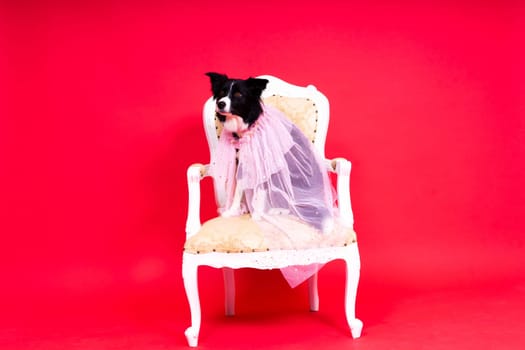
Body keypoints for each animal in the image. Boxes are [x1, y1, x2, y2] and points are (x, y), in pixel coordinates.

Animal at [204, 72, 332, 234]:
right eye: (221, 92)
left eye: (238, 95)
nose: (220, 103)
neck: (249, 126)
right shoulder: (242, 163)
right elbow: (239, 191)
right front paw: (233, 211)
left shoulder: (265, 164)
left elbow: (261, 191)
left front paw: (257, 214)